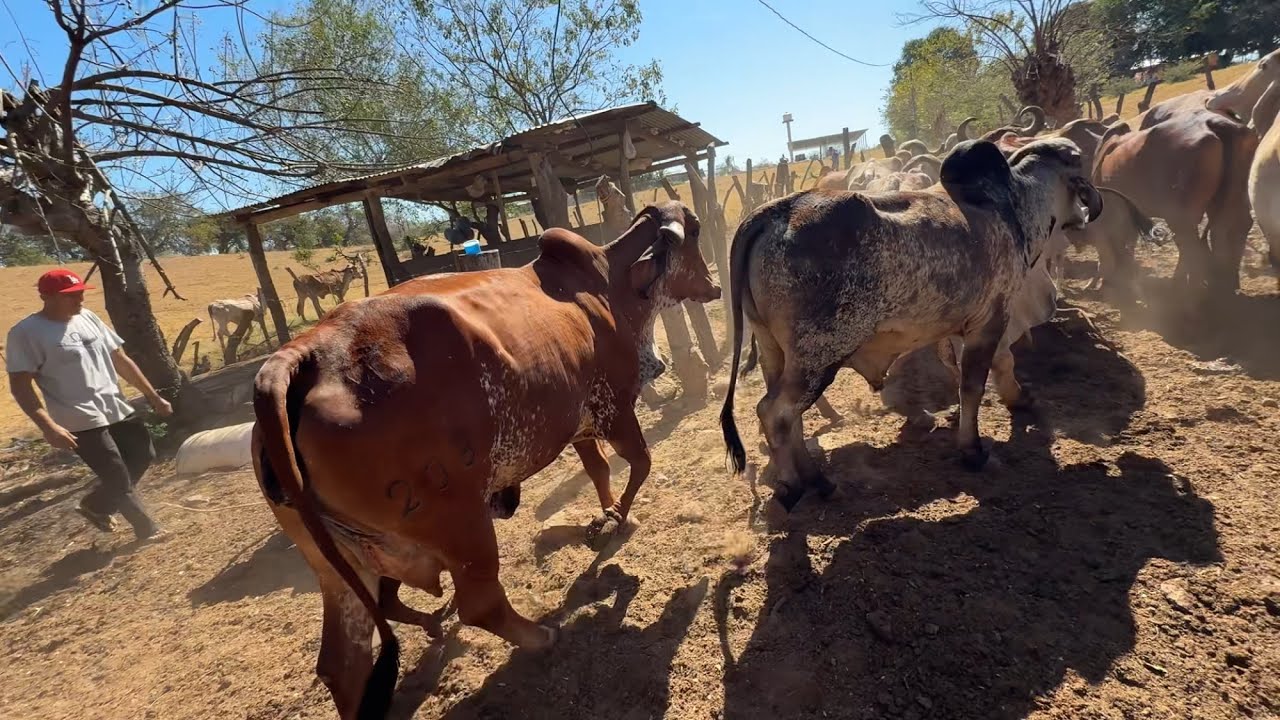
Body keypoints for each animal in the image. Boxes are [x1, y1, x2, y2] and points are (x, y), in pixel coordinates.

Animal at [252, 200, 719, 719]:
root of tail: (303, 356)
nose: (715, 286)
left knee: (341, 663)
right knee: (479, 603)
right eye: (694, 231)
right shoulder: (615, 410)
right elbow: (640, 463)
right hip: (461, 523)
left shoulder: (577, 424)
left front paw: (606, 515)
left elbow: (598, 469)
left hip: (341, 570)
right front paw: (616, 518)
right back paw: (540, 637)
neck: (609, 284)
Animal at [719, 138, 1102, 511]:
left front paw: (1018, 398)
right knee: (775, 413)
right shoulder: (991, 319)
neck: (1012, 206)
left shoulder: (967, 326)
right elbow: (974, 385)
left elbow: (989, 367)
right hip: (817, 358)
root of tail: (775, 211)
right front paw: (973, 450)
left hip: (775, 352)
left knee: (789, 416)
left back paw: (819, 481)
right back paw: (793, 486)